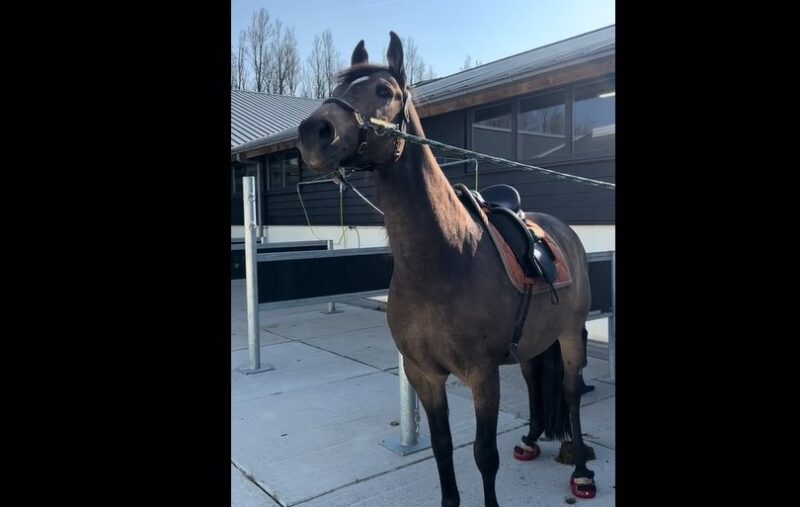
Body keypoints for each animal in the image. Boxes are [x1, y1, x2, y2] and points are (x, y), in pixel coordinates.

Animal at [297, 32, 596, 507]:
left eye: (384, 91)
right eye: (339, 87)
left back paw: (582, 472)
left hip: (569, 334)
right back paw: (531, 441)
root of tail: (562, 231)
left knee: (569, 393)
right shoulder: (424, 374)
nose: (314, 133)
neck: (444, 259)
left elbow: (484, 455)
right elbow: (442, 449)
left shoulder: (482, 376)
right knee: (534, 379)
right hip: (534, 340)